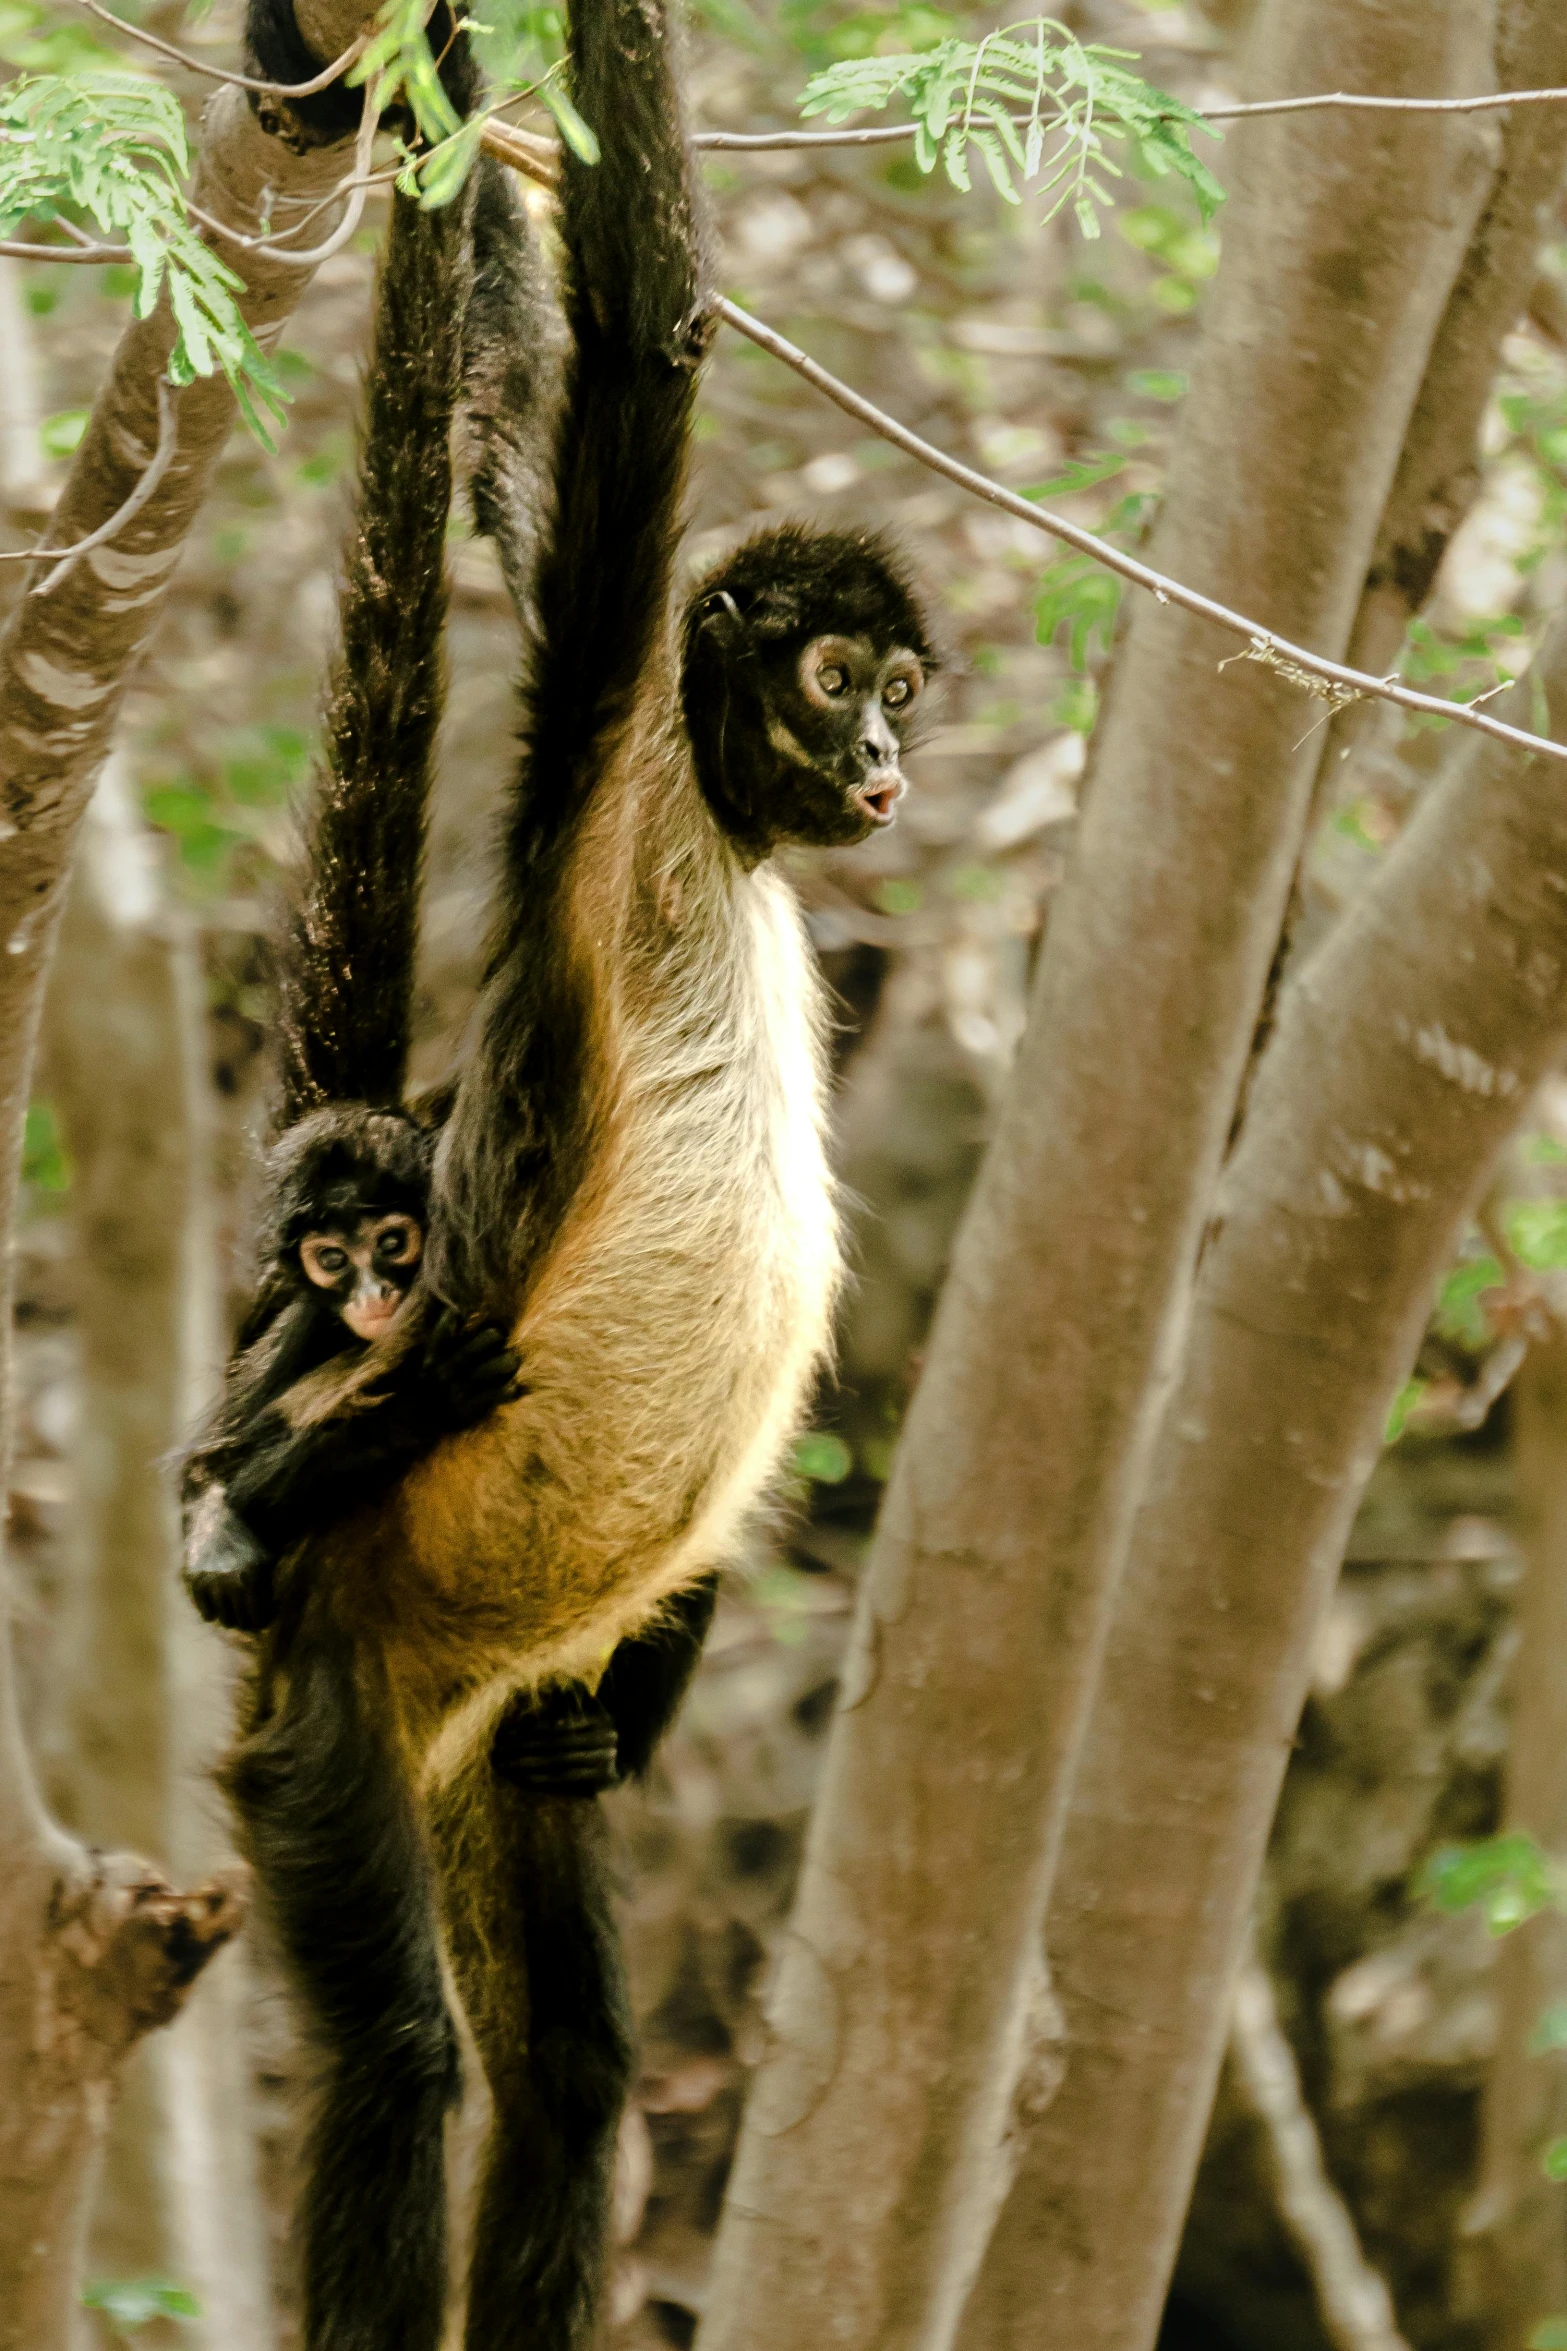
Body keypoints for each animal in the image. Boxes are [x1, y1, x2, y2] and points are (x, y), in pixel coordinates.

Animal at [214, 4, 939, 2351]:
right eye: (834, 677)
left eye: (903, 690)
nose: (882, 758)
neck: (719, 826)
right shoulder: (611, 729)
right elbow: (632, 356)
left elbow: (508, 417)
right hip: (330, 1686)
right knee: (398, 2054)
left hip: (492, 1722)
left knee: (569, 2068)